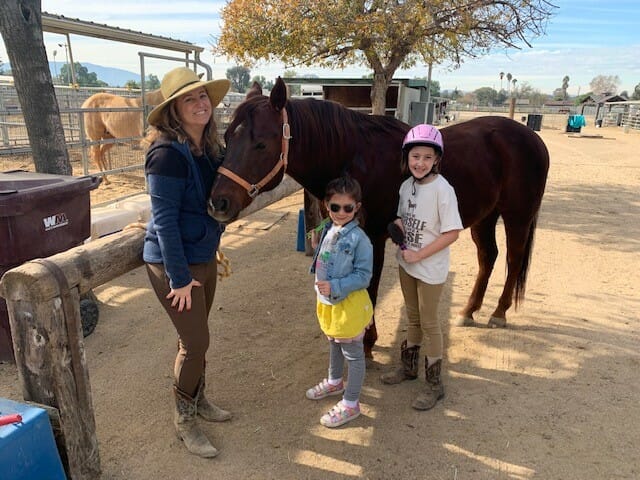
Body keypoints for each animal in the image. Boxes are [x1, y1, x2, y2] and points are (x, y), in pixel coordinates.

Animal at [210, 79, 552, 356]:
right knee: (488, 257)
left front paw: (366, 341)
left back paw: (499, 313)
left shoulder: (373, 237)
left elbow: (370, 286)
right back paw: (468, 311)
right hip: (485, 217)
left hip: (517, 216)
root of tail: (530, 137)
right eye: (227, 137)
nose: (218, 202)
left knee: (513, 259)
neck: (353, 156)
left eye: (261, 143)